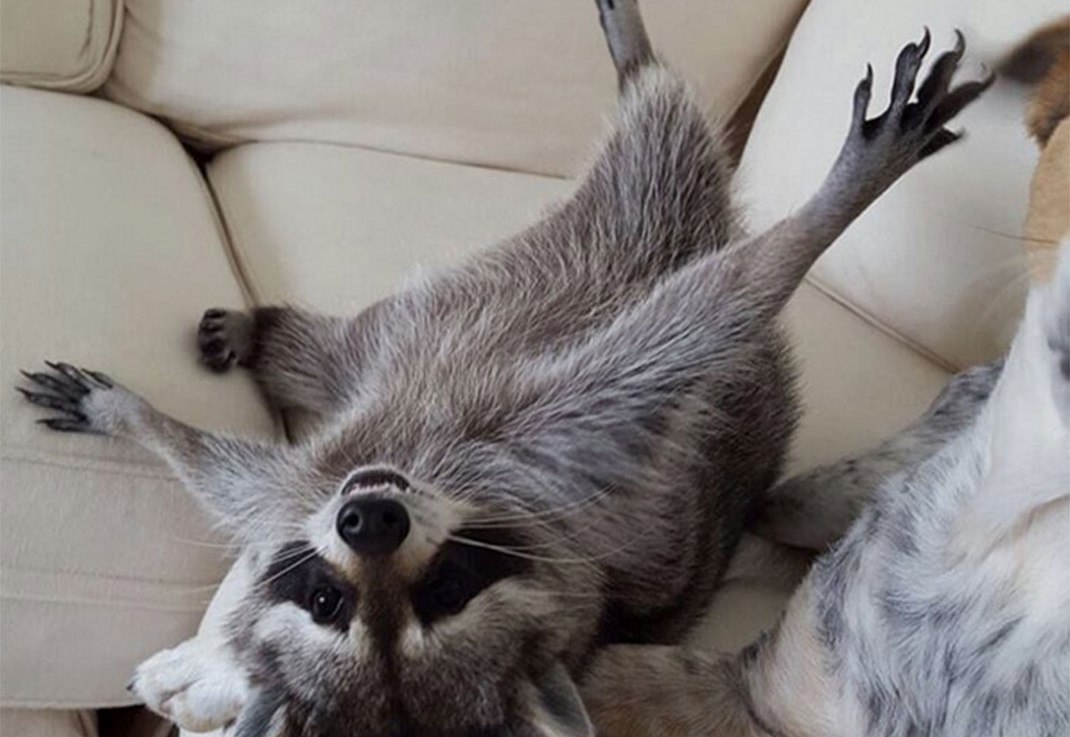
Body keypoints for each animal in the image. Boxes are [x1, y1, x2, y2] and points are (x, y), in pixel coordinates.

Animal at [17, 2, 989, 735]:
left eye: (445, 590)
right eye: (327, 601)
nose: (369, 521)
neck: (421, 479)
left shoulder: (529, 453)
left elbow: (711, 315)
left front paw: (835, 204)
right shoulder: (335, 481)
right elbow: (218, 467)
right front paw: (132, 416)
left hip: (612, 233)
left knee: (664, 153)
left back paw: (642, 62)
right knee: (336, 349)